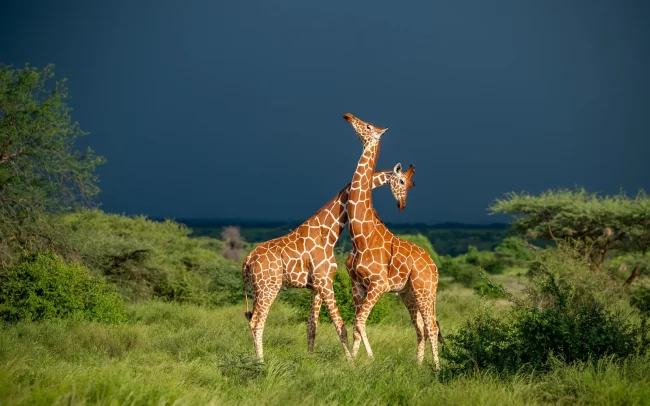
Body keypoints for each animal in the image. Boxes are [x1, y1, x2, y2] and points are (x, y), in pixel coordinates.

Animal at [242, 169, 414, 362]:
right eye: (401, 181)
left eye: (410, 184)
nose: (402, 204)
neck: (328, 233)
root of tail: (247, 259)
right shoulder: (325, 282)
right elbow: (340, 325)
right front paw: (350, 362)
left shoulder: (315, 286)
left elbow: (311, 327)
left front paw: (310, 360)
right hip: (269, 287)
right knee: (257, 322)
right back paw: (260, 361)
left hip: (257, 289)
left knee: (252, 320)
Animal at [342, 112, 441, 369]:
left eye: (367, 126)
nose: (348, 116)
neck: (360, 235)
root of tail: (434, 267)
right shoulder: (357, 285)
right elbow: (356, 325)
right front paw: (352, 364)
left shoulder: (378, 284)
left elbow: (360, 322)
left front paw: (370, 359)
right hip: (409, 293)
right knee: (421, 328)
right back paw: (418, 365)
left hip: (425, 289)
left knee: (432, 326)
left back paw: (438, 368)